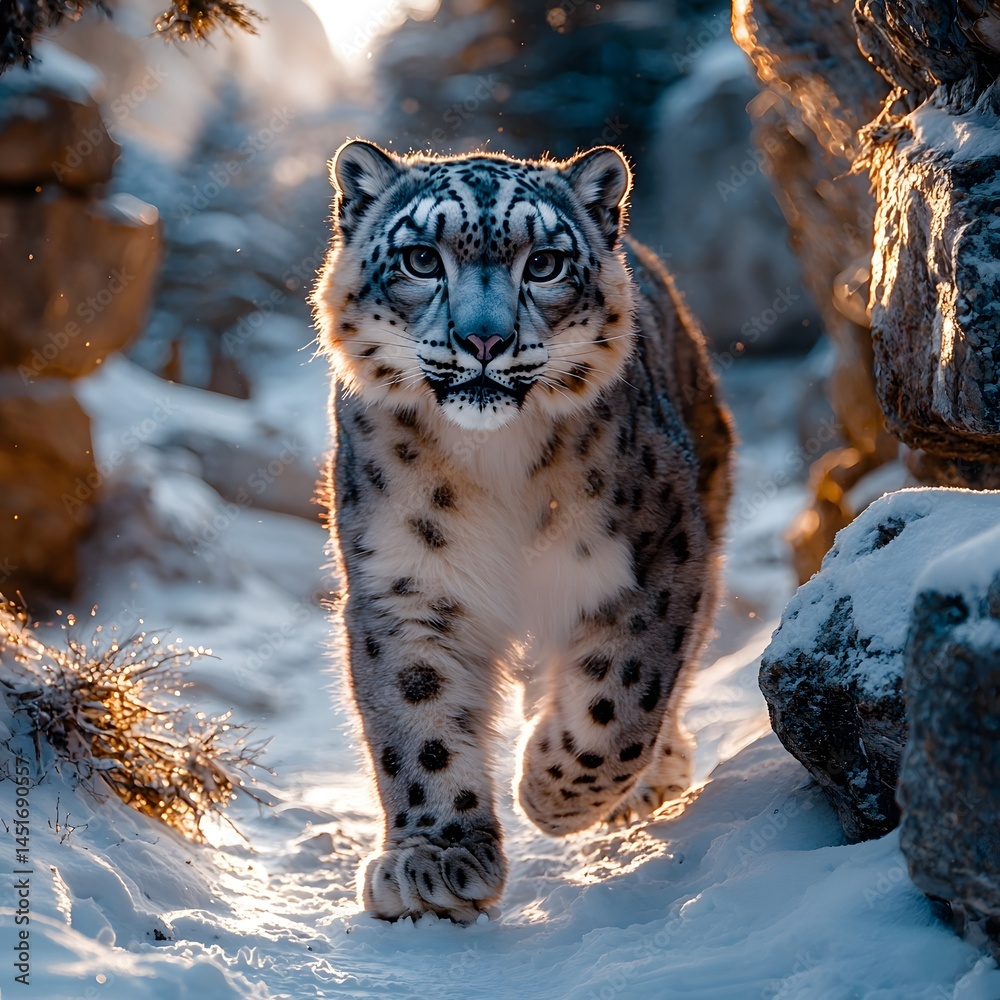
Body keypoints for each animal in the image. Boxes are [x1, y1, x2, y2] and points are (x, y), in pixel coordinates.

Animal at [311, 139, 733, 924]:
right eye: (421, 258)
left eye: (544, 264)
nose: (483, 338)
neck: (496, 462)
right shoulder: (409, 583)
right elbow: (418, 720)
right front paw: (435, 860)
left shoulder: (659, 553)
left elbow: (623, 695)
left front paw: (552, 793)